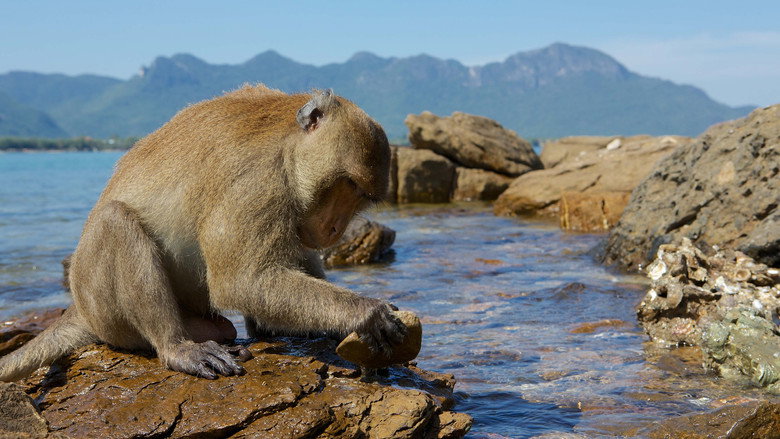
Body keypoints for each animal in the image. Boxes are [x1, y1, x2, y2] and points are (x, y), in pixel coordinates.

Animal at [0, 85, 406, 381]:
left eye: (362, 196)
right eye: (348, 184)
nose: (336, 228)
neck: (286, 144)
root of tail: (79, 309)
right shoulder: (255, 184)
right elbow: (241, 282)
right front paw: (366, 313)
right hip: (102, 307)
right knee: (115, 221)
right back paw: (177, 347)